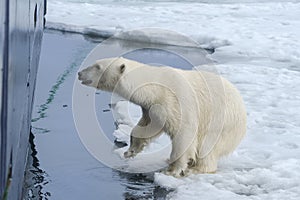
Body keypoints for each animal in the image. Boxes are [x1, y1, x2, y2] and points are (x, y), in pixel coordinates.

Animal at [78, 57, 247, 177]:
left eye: (97, 66)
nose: (79, 73)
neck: (155, 86)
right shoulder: (152, 106)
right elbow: (148, 127)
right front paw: (130, 151)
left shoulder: (175, 101)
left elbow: (184, 133)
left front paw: (173, 170)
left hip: (221, 123)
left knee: (207, 147)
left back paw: (196, 168)